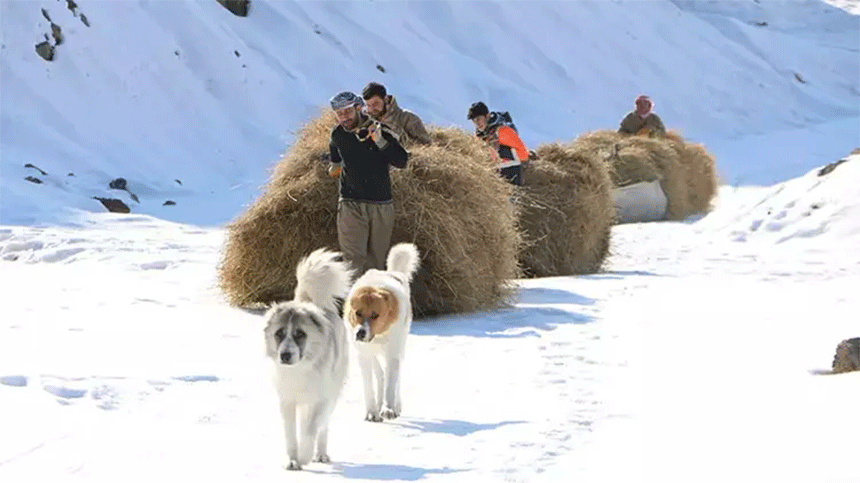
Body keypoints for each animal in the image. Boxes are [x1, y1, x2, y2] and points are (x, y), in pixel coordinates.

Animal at [264, 250, 354, 472]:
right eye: (279, 333)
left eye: (300, 334)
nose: (285, 355)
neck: (300, 369)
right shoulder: (287, 401)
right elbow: (290, 434)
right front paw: (292, 460)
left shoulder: (322, 399)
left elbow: (311, 429)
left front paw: (304, 456)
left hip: (332, 394)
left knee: (322, 428)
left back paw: (320, 454)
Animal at [344, 244, 422, 422]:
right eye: (358, 313)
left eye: (375, 315)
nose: (360, 333)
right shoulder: (364, 355)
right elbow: (370, 385)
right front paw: (372, 411)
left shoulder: (392, 353)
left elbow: (391, 384)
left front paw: (389, 409)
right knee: (380, 374)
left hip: (400, 347)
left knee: (394, 377)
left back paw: (396, 406)